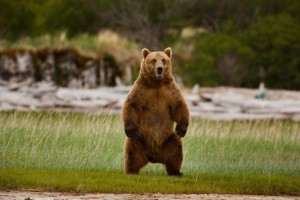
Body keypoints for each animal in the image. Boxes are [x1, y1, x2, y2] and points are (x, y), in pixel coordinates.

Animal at [120, 47, 189, 176]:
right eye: (153, 60)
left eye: (164, 60)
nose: (159, 68)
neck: (156, 83)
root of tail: (154, 155)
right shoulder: (141, 90)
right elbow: (131, 105)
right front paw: (130, 129)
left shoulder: (170, 90)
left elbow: (179, 105)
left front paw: (181, 129)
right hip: (140, 140)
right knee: (132, 153)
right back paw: (131, 171)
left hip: (169, 140)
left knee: (176, 150)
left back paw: (176, 172)